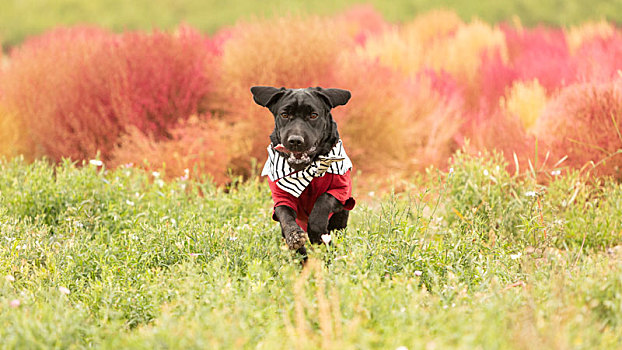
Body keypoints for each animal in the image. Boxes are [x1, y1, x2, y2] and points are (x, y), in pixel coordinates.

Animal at [250, 86, 356, 256]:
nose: (295, 140)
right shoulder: (281, 197)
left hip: (340, 220)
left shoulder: (341, 191)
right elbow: (285, 216)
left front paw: (317, 232)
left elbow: (323, 200)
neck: (306, 169)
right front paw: (294, 236)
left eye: (313, 115)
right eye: (284, 115)